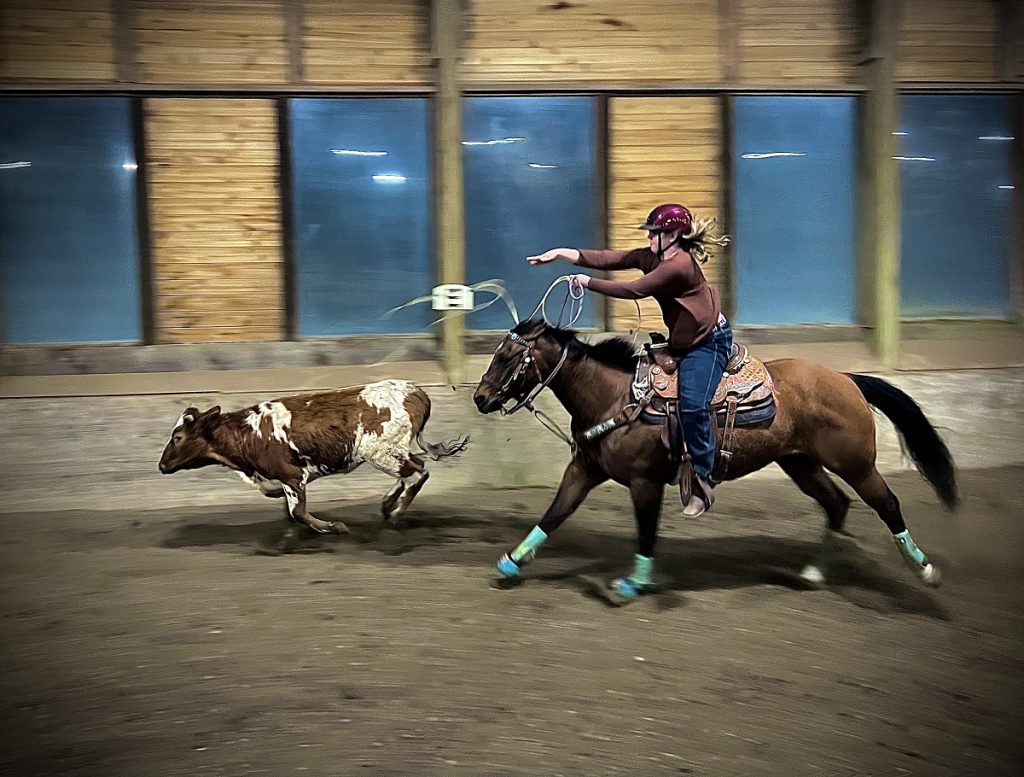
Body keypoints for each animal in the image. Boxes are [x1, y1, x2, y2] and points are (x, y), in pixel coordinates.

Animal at [158, 378, 468, 548]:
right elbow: (290, 514)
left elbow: (298, 512)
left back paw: (394, 515)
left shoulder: (293, 476)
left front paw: (334, 527)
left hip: (382, 453)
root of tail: (416, 392)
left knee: (416, 474)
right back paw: (387, 504)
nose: (161, 466)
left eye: (178, 436)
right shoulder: (283, 482)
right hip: (393, 452)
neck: (249, 433)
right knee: (413, 471)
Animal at [471, 319, 958, 606]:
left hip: (855, 464)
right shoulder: (584, 471)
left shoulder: (645, 482)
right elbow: (554, 514)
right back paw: (814, 574)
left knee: (888, 504)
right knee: (836, 504)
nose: (480, 397)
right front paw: (512, 563)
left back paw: (927, 570)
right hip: (800, 463)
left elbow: (645, 533)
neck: (614, 396)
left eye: (508, 357)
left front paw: (632, 584)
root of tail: (847, 379)